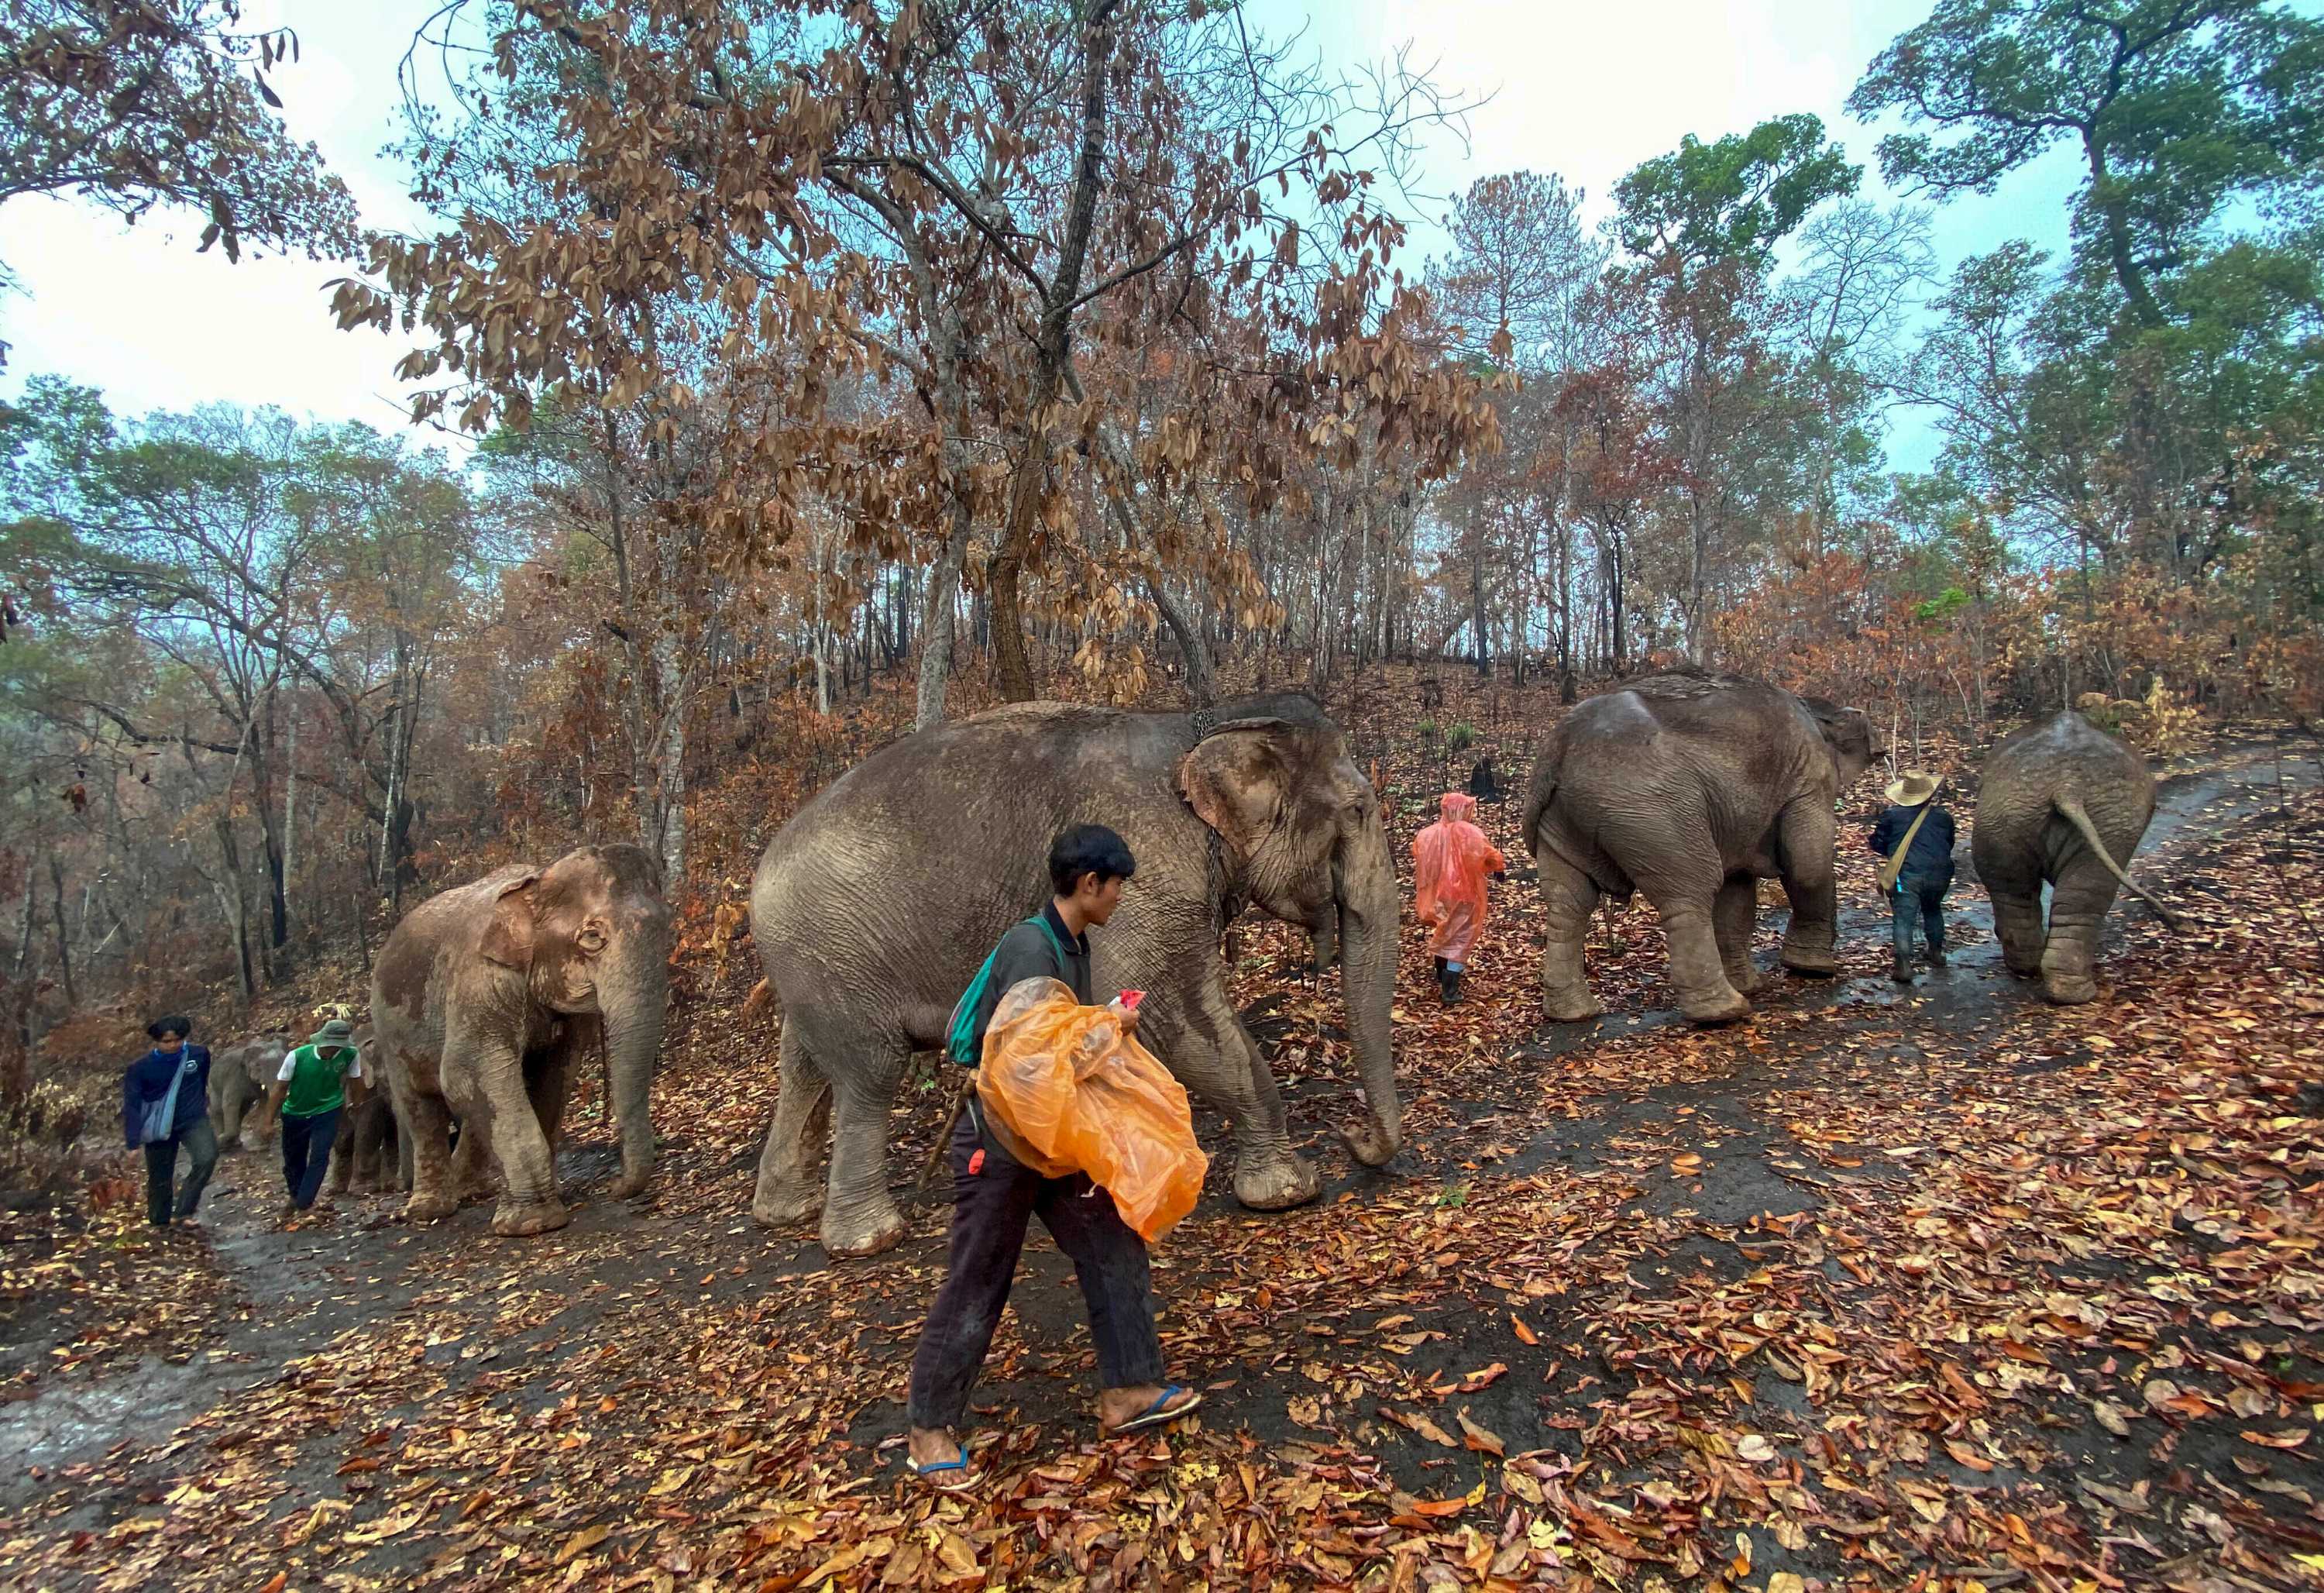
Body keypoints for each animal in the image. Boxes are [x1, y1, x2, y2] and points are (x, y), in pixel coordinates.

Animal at [370, 843, 673, 1236]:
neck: (537, 882)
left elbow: (553, 1075)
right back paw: (428, 1211)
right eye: (592, 937)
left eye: (668, 924)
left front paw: (547, 1203)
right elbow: (465, 1073)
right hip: (389, 1027)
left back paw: (473, 1191)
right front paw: (532, 1224)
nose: (615, 1186)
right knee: (419, 1106)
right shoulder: (479, 981)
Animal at [747, 692, 1403, 1258]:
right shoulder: (1149, 873)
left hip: (816, 967)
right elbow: (1176, 1017)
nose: (1353, 1138)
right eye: (1357, 811)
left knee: (802, 1061)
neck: (1202, 725)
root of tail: (756, 877)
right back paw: (869, 1239)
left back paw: (787, 1211)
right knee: (869, 1074)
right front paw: (1289, 1192)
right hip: (834, 950)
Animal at [1522, 670, 1876, 1024]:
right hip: (1654, 810)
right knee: (1693, 889)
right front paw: (1813, 970)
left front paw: (1755, 985)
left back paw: (1573, 1013)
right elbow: (1808, 865)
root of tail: (1558, 748)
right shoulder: (1809, 778)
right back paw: (1725, 1012)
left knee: (1569, 902)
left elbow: (1738, 891)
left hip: (1563, 818)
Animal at [1970, 710, 2178, 1005]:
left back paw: (2032, 973)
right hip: (2108, 822)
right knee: (2086, 895)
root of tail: (2068, 787)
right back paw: (2075, 993)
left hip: (2007, 813)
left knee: (2015, 889)